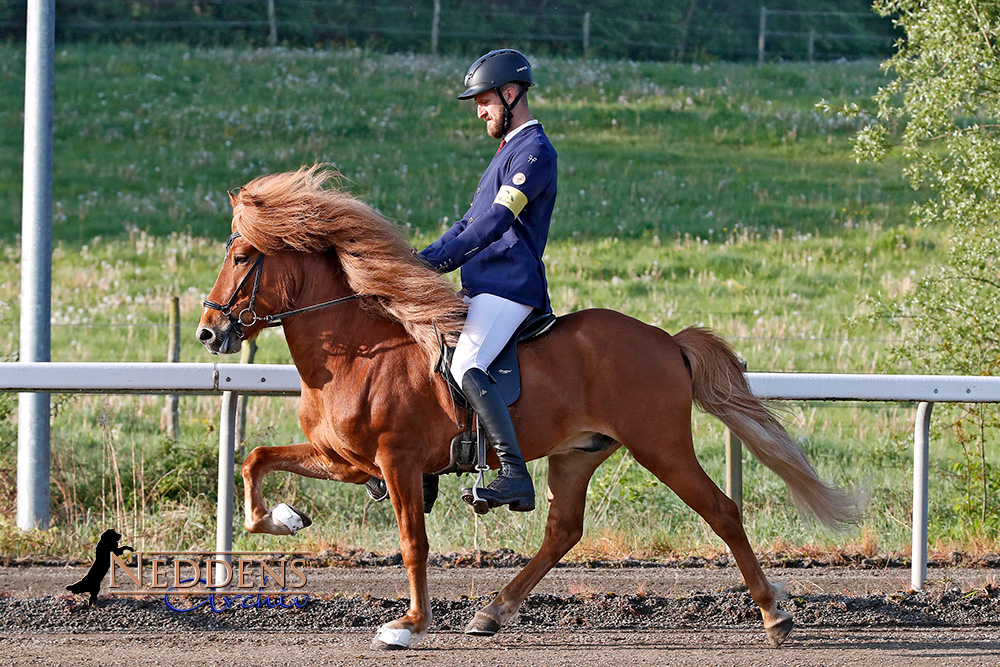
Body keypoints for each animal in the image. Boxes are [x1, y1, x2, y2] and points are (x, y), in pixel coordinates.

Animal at [195, 167, 860, 652]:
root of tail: (666, 340)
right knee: (563, 529)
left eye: (244, 257)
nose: (208, 332)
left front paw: (409, 625)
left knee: (721, 511)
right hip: (578, 454)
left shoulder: (396, 461)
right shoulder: (344, 459)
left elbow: (413, 542)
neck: (360, 351)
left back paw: (774, 616)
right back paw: (494, 611)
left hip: (661, 445)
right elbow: (256, 459)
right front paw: (282, 519)